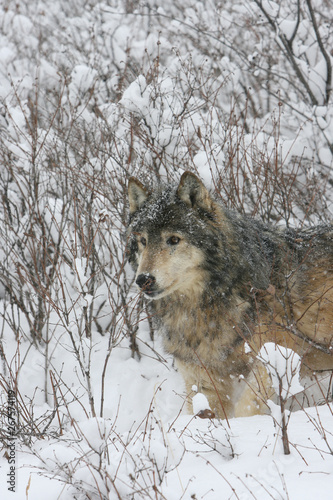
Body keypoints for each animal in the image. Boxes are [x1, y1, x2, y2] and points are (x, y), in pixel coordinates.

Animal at [126, 172, 332, 418]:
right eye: (143, 241)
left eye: (174, 239)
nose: (143, 280)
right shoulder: (202, 379)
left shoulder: (277, 358)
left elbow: (247, 408)